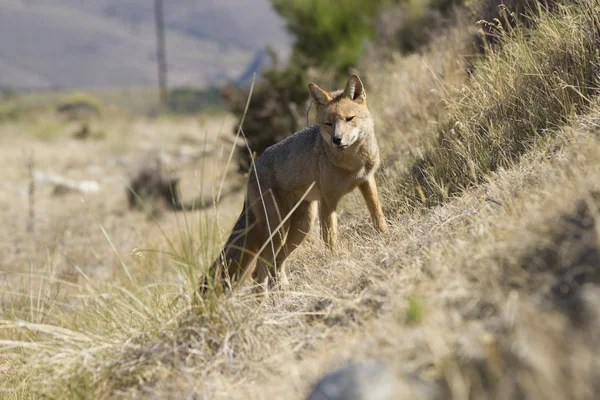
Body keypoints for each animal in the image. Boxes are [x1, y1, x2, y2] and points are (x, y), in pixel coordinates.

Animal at [202, 75, 390, 292]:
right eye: (328, 124)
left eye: (349, 119)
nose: (337, 140)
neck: (352, 164)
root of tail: (253, 170)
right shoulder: (328, 201)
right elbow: (330, 240)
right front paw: (337, 261)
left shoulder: (367, 181)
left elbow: (378, 216)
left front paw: (386, 238)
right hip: (278, 229)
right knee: (260, 270)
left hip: (301, 226)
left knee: (276, 262)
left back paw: (284, 289)